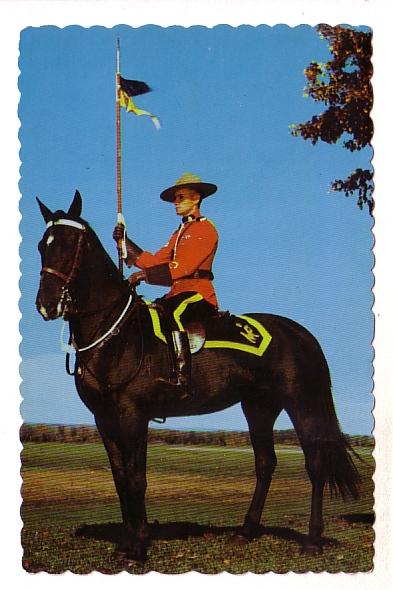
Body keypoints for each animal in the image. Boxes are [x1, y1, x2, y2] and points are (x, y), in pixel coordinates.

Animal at [36, 193, 358, 564]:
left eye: (72, 244)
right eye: (42, 246)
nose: (46, 305)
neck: (116, 334)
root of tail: (300, 333)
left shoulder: (134, 415)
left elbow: (136, 479)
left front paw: (138, 547)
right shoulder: (103, 418)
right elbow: (119, 478)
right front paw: (125, 543)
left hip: (301, 404)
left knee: (315, 464)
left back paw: (312, 540)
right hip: (259, 408)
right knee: (266, 464)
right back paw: (245, 532)